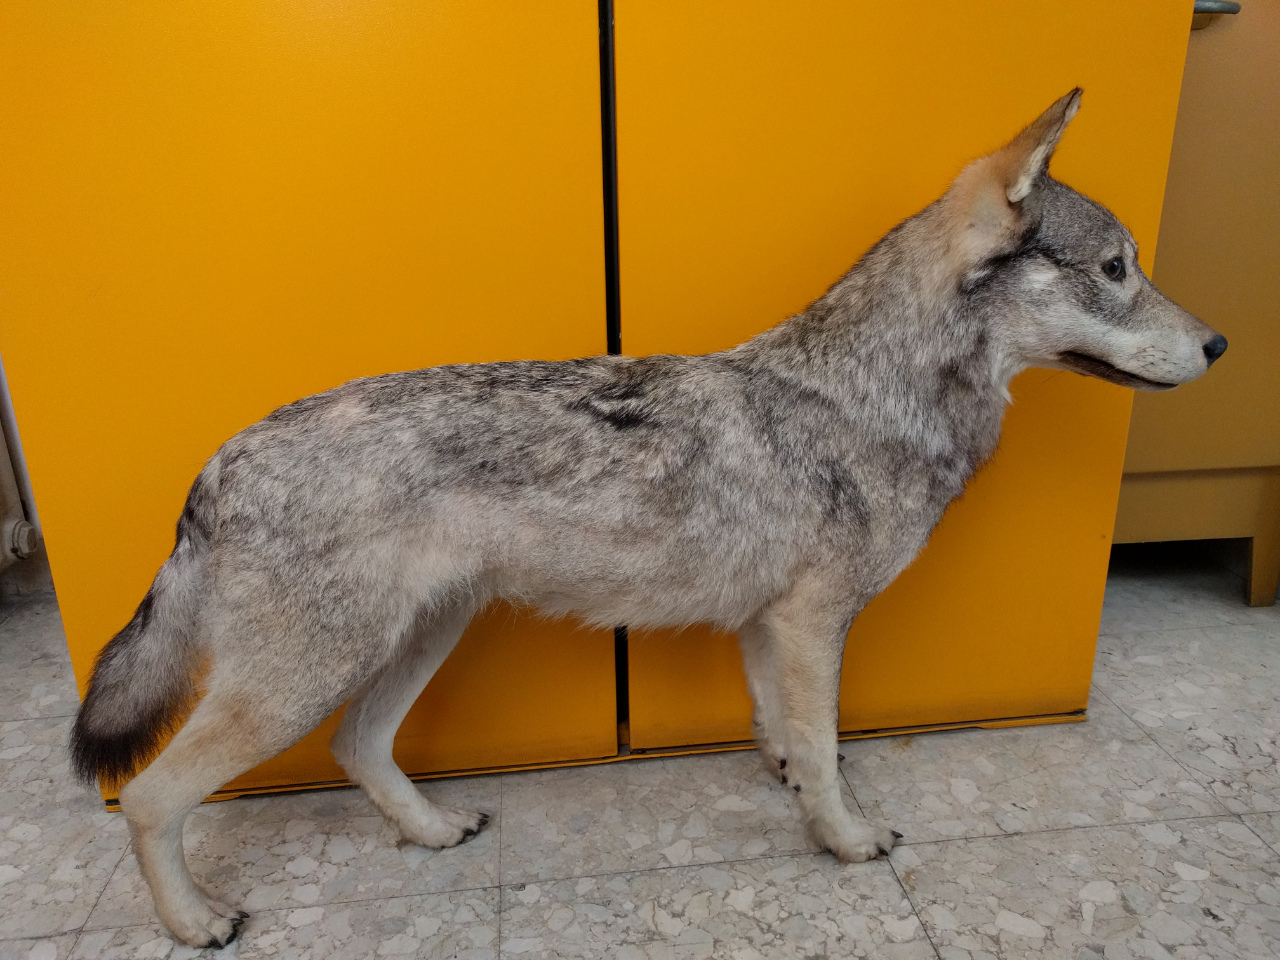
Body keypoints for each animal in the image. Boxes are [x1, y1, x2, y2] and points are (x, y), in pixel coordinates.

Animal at [70, 89, 1225, 947]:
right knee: (151, 798)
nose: (1220, 346)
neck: (867, 398)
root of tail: (216, 462)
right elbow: (827, 749)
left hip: (411, 645)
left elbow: (786, 738)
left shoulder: (769, 630)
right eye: (1117, 269)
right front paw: (845, 842)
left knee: (357, 749)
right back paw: (197, 924)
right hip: (301, 683)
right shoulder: (811, 627)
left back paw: (434, 831)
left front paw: (793, 792)